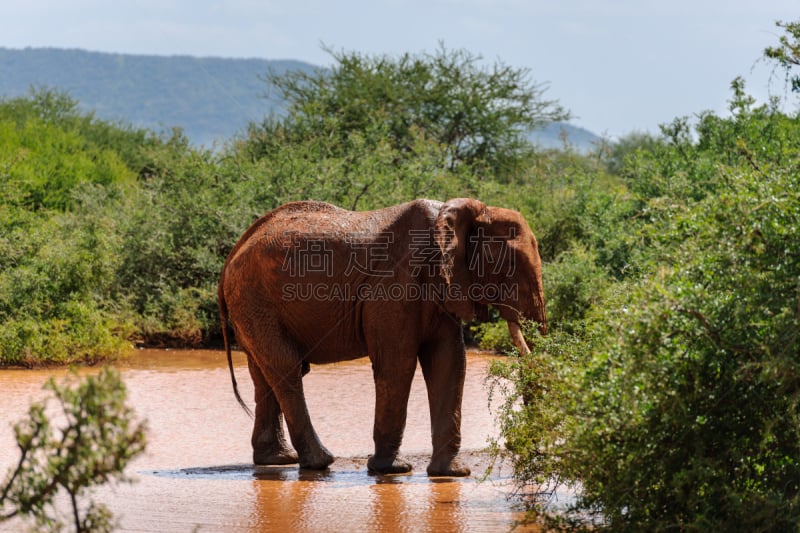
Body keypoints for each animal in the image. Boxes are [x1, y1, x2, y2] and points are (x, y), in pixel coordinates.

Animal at [216, 197, 548, 476]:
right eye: (510, 264)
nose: (518, 444)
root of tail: (233, 252)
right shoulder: (394, 286)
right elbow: (397, 363)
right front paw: (393, 470)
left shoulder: (443, 285)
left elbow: (449, 363)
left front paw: (452, 473)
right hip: (254, 298)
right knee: (287, 368)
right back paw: (320, 463)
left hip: (253, 303)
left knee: (265, 373)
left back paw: (278, 460)